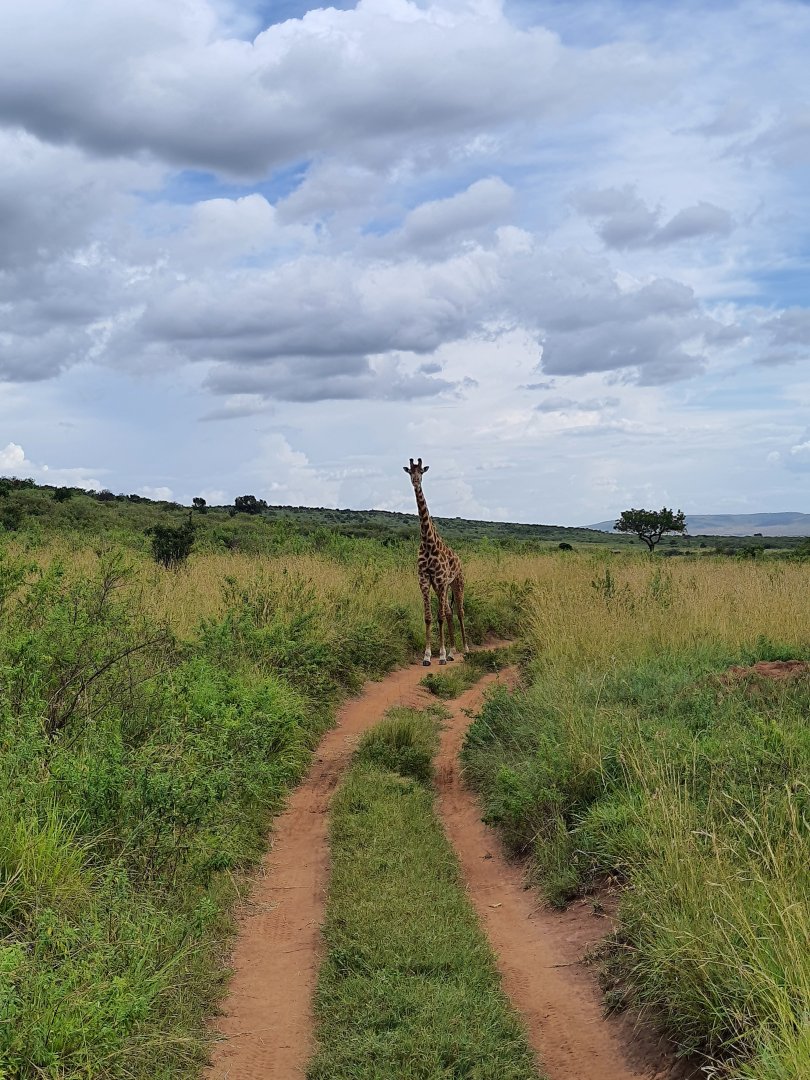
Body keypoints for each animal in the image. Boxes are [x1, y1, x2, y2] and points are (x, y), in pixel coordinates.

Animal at [403, 457, 469, 666]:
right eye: (410, 472)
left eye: (422, 472)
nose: (416, 482)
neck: (427, 541)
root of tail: (459, 559)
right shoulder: (425, 580)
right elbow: (429, 617)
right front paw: (427, 656)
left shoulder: (439, 581)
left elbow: (439, 617)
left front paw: (439, 654)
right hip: (445, 587)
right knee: (449, 611)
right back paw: (452, 652)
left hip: (457, 582)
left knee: (460, 611)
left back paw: (465, 649)